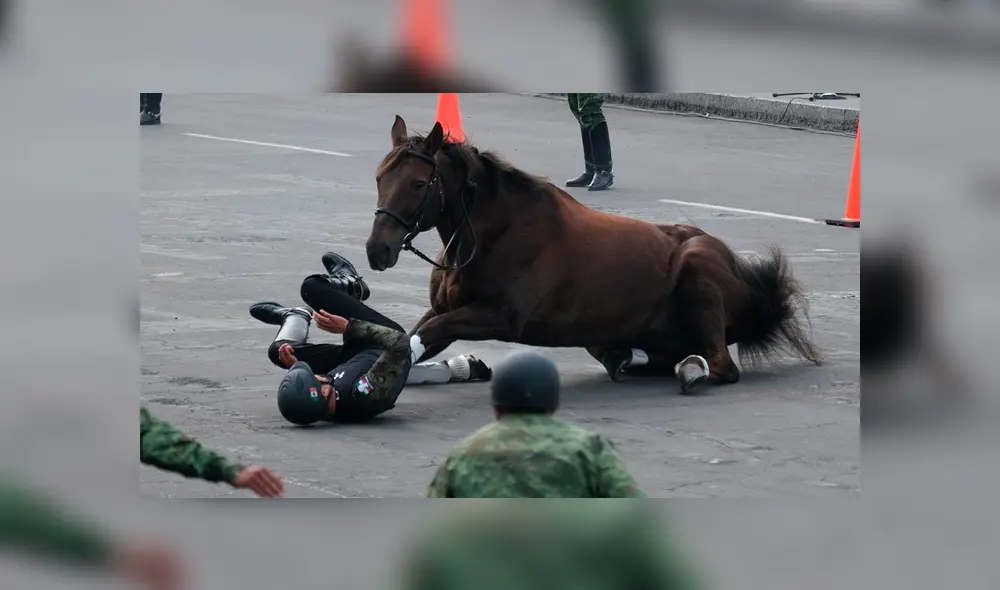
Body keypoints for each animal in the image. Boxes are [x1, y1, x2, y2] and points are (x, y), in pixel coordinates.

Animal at [364, 115, 823, 394]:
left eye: (419, 183)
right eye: (380, 177)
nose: (377, 250)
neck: (494, 232)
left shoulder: (499, 317)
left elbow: (422, 336)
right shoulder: (447, 309)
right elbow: (417, 335)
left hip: (698, 269)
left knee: (721, 365)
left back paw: (689, 369)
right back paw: (628, 356)